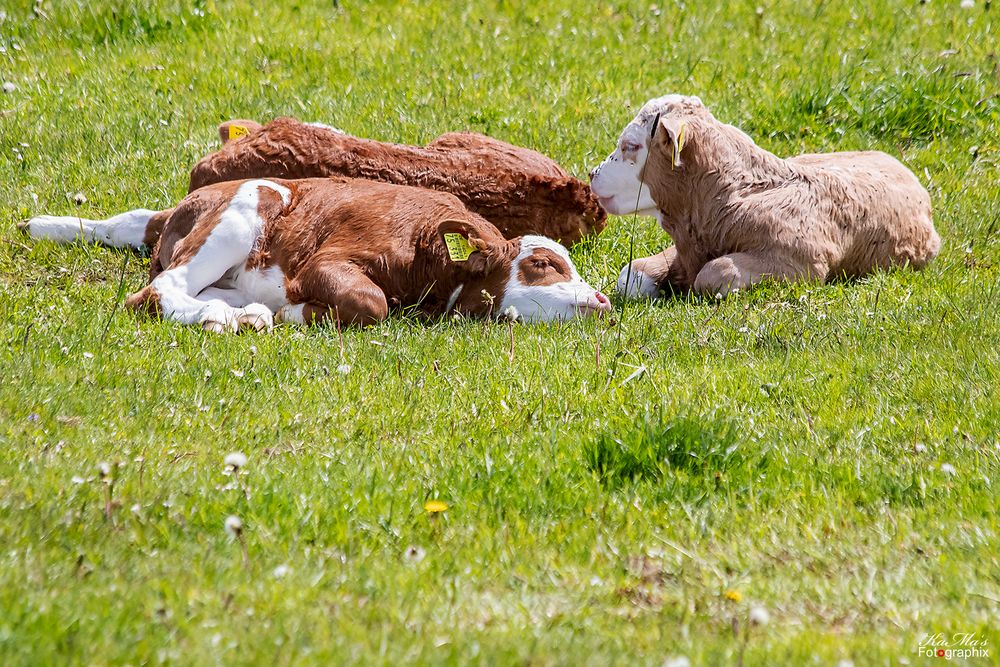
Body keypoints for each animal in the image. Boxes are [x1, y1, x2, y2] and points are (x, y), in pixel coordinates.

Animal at [19, 176, 608, 330]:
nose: (602, 300)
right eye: (542, 264)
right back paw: (227, 318)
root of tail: (184, 204)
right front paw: (297, 311)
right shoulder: (332, 260)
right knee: (157, 291)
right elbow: (370, 302)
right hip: (241, 216)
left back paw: (246, 314)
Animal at [584, 94, 936, 298]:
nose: (592, 173)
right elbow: (631, 275)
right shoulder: (688, 243)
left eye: (631, 146)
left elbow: (713, 274)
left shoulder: (801, 263)